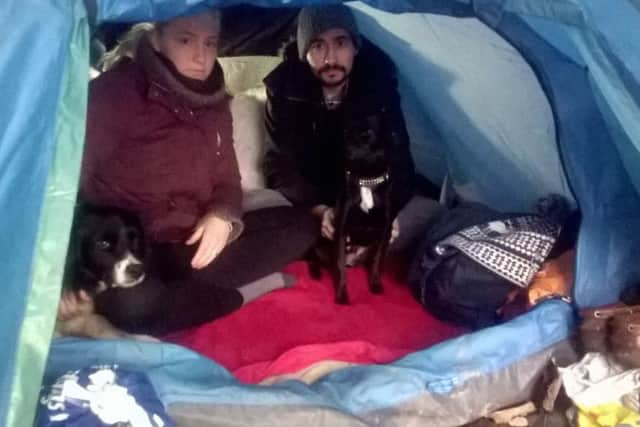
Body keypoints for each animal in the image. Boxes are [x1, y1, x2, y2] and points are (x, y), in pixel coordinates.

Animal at [312, 112, 396, 306]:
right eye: (345, 133)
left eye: (367, 134)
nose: (347, 151)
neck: (366, 181)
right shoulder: (341, 231)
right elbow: (339, 268)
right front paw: (342, 295)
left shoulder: (385, 232)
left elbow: (378, 262)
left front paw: (375, 284)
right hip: (322, 244)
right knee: (315, 258)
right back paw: (316, 272)